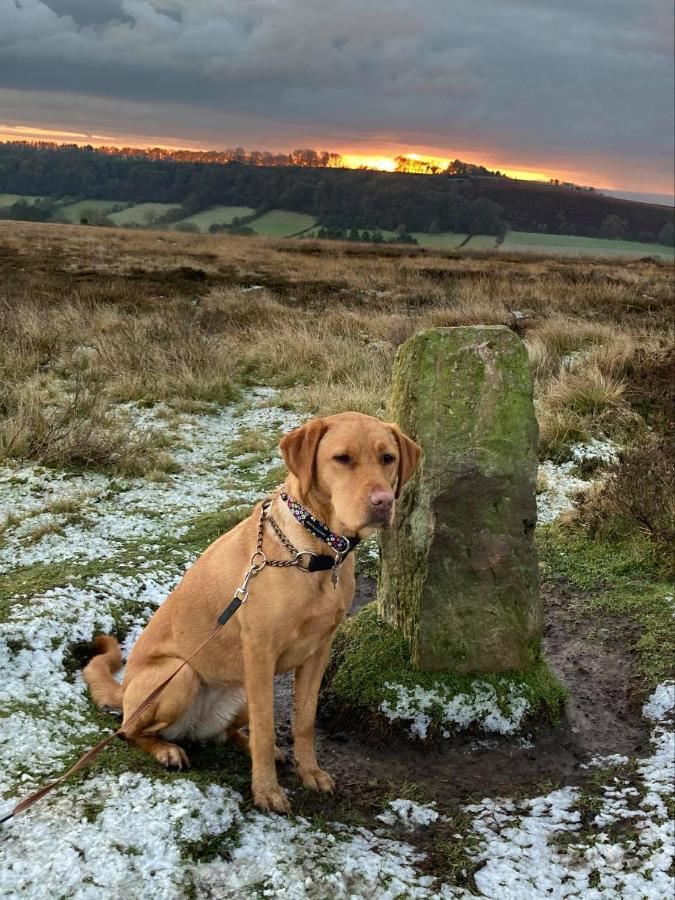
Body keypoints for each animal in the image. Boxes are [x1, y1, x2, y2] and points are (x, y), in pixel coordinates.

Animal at [84, 412, 420, 812]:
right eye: (342, 458)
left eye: (388, 458)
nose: (383, 501)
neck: (316, 552)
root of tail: (124, 692)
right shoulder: (260, 652)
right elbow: (265, 726)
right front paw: (267, 791)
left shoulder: (319, 650)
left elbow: (304, 721)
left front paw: (310, 773)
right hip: (180, 676)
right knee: (127, 731)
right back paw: (166, 750)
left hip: (238, 689)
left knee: (227, 733)